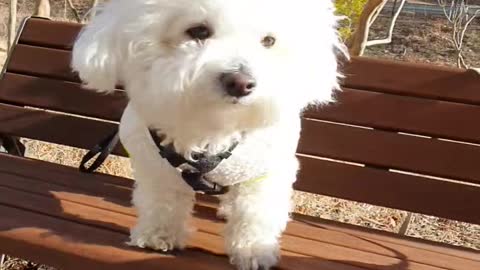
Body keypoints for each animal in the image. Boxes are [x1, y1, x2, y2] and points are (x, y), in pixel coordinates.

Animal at [71, 1, 344, 268]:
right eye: (199, 31)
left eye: (269, 41)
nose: (241, 83)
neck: (212, 124)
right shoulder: (157, 167)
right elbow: (163, 201)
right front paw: (158, 235)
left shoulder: (264, 172)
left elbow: (254, 212)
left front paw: (253, 251)